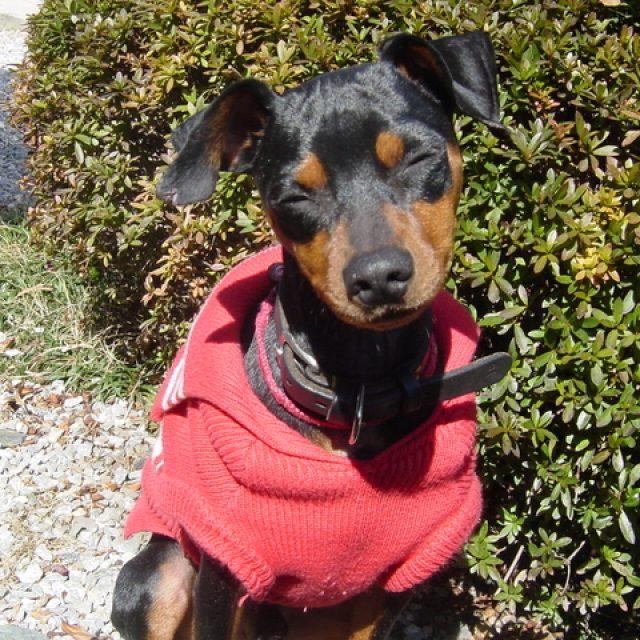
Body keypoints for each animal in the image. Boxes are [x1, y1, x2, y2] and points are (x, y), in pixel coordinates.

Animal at [111, 31, 510, 640]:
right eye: (295, 197)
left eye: (418, 158)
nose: (378, 276)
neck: (361, 384)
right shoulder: (224, 564)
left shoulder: (397, 576)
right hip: (159, 576)